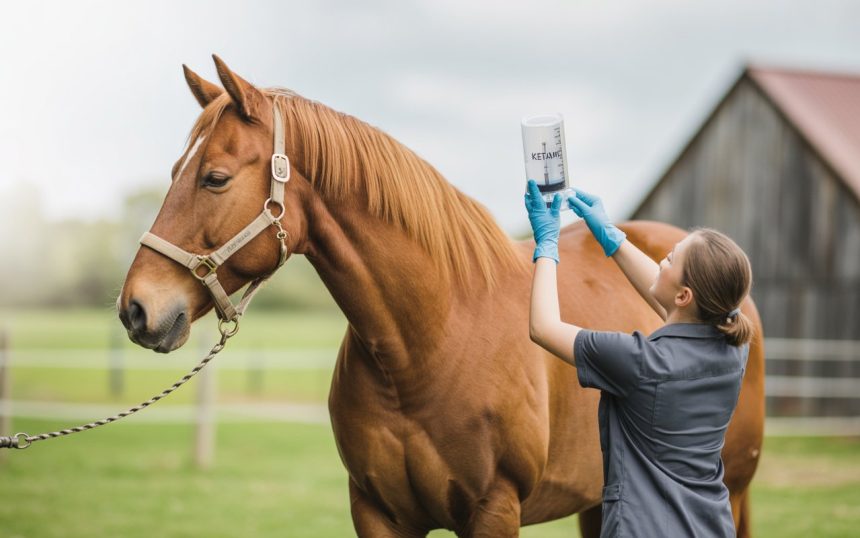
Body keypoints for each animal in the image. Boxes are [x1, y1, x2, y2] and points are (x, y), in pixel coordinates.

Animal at [118, 55, 764, 537]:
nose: (136, 309)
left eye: (215, 178)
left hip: (727, 491)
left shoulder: (494, 511)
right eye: (175, 171)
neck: (428, 342)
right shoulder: (378, 513)